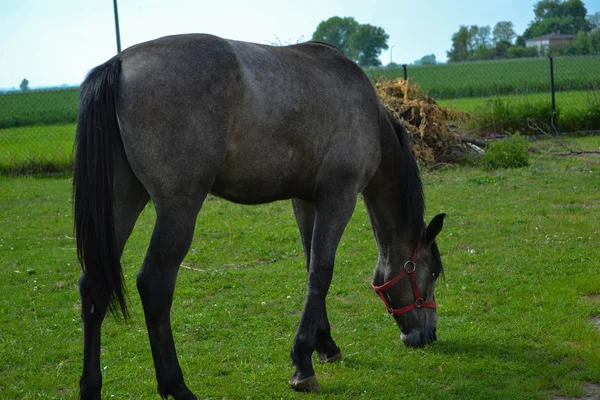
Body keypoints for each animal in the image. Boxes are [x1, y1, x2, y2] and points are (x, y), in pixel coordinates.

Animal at [72, 33, 442, 400]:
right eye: (435, 272)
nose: (428, 336)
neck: (369, 115)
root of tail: (119, 63)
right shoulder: (340, 197)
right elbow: (322, 272)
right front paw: (302, 364)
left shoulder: (305, 200)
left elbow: (310, 266)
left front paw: (324, 345)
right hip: (178, 208)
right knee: (154, 285)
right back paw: (177, 386)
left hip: (122, 202)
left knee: (94, 286)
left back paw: (91, 386)